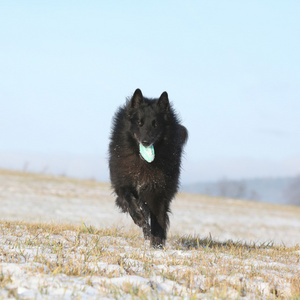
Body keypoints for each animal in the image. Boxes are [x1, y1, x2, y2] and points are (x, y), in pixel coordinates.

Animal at [108, 89, 188, 248]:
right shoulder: (122, 183)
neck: (143, 163)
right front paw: (139, 218)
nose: (146, 142)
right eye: (139, 123)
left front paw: (156, 245)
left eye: (155, 124)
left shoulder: (157, 191)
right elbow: (129, 199)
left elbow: (158, 219)